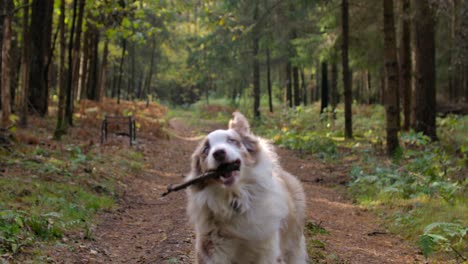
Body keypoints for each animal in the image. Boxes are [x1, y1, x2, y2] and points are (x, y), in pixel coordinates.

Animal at [185, 112, 308, 262]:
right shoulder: (211, 247)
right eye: (206, 149)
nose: (218, 153)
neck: (235, 197)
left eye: (231, 140)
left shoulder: (268, 248)